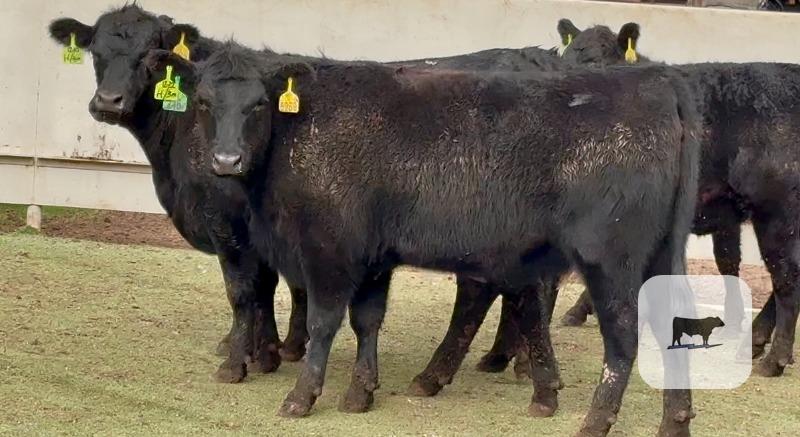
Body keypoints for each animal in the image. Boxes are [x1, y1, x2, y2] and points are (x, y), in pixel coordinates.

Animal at [150, 39, 701, 435]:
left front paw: (302, 396)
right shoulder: (373, 258)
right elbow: (367, 319)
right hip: (662, 254)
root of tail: (655, 80)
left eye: (260, 103)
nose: (226, 161)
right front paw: (360, 394)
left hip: (611, 259)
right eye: (204, 103)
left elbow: (324, 322)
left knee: (623, 337)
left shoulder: (329, 251)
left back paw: (594, 421)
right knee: (671, 322)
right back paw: (673, 422)